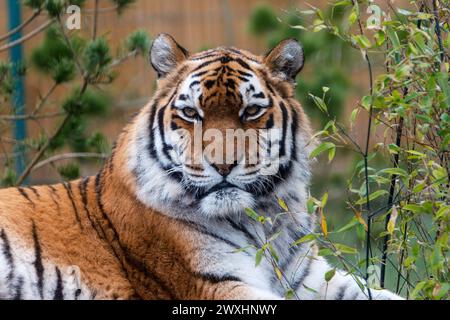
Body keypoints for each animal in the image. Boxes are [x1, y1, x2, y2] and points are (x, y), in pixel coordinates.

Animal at [0, 35, 400, 300]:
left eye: (251, 111)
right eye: (192, 113)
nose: (223, 163)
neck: (266, 220)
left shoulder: (306, 276)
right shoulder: (213, 282)